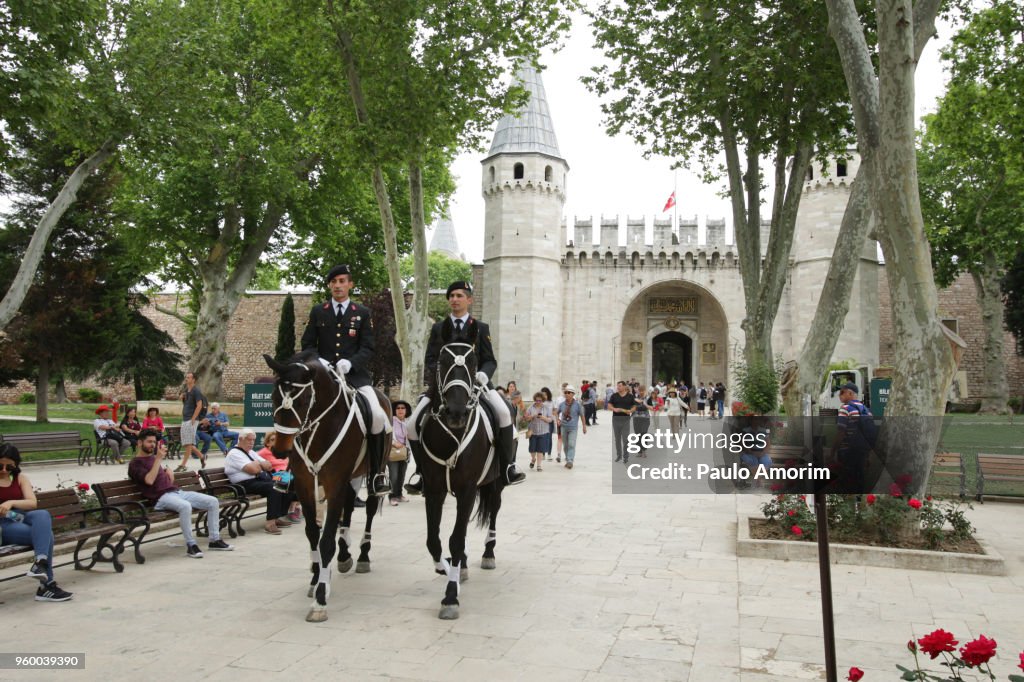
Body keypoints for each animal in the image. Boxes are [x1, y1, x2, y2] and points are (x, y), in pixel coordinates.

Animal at [262, 350, 389, 622]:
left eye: (301, 401)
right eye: (274, 397)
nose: (280, 450)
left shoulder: (335, 483)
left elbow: (326, 539)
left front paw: (320, 599)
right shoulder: (305, 485)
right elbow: (313, 533)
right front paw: (316, 576)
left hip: (373, 470)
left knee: (369, 509)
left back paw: (362, 556)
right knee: (348, 510)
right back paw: (344, 555)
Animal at [407, 337, 503, 618]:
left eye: (472, 362)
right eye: (442, 360)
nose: (456, 412)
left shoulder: (468, 489)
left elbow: (457, 539)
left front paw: (450, 596)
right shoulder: (434, 490)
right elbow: (434, 540)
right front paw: (447, 568)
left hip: (495, 482)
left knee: (493, 511)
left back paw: (488, 554)